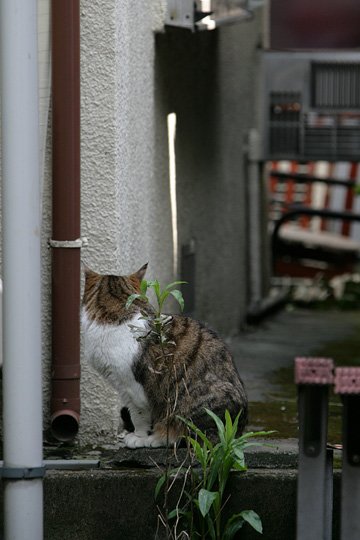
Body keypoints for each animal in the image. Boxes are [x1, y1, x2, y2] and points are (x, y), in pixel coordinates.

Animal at [81, 262, 248, 448]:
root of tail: (237, 431)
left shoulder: (132, 389)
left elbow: (138, 415)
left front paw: (139, 437)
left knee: (190, 436)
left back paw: (156, 438)